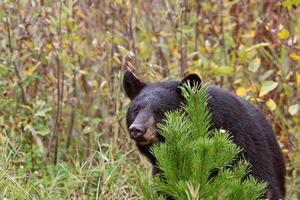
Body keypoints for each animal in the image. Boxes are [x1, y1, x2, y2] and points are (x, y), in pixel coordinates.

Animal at [123, 69, 284, 199]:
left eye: (160, 111)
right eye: (136, 109)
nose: (136, 129)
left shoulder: (245, 147)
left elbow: (261, 181)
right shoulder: (164, 170)